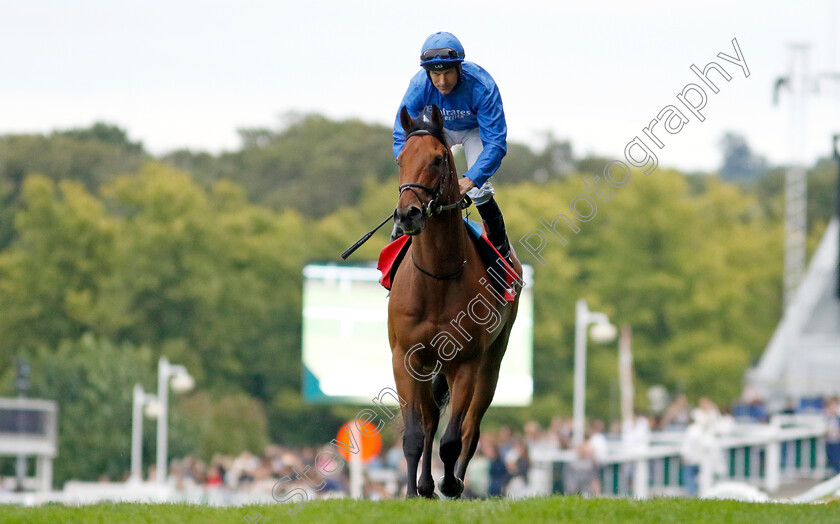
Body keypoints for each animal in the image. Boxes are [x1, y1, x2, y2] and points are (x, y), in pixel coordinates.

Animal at [388, 103, 520, 500]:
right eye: (400, 159)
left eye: (437, 159)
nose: (407, 214)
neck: (437, 277)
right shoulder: (406, 356)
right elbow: (415, 433)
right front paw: (412, 491)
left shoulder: (466, 362)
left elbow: (452, 439)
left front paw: (450, 483)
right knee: (431, 418)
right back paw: (425, 484)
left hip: (492, 360)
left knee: (471, 426)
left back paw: (452, 481)